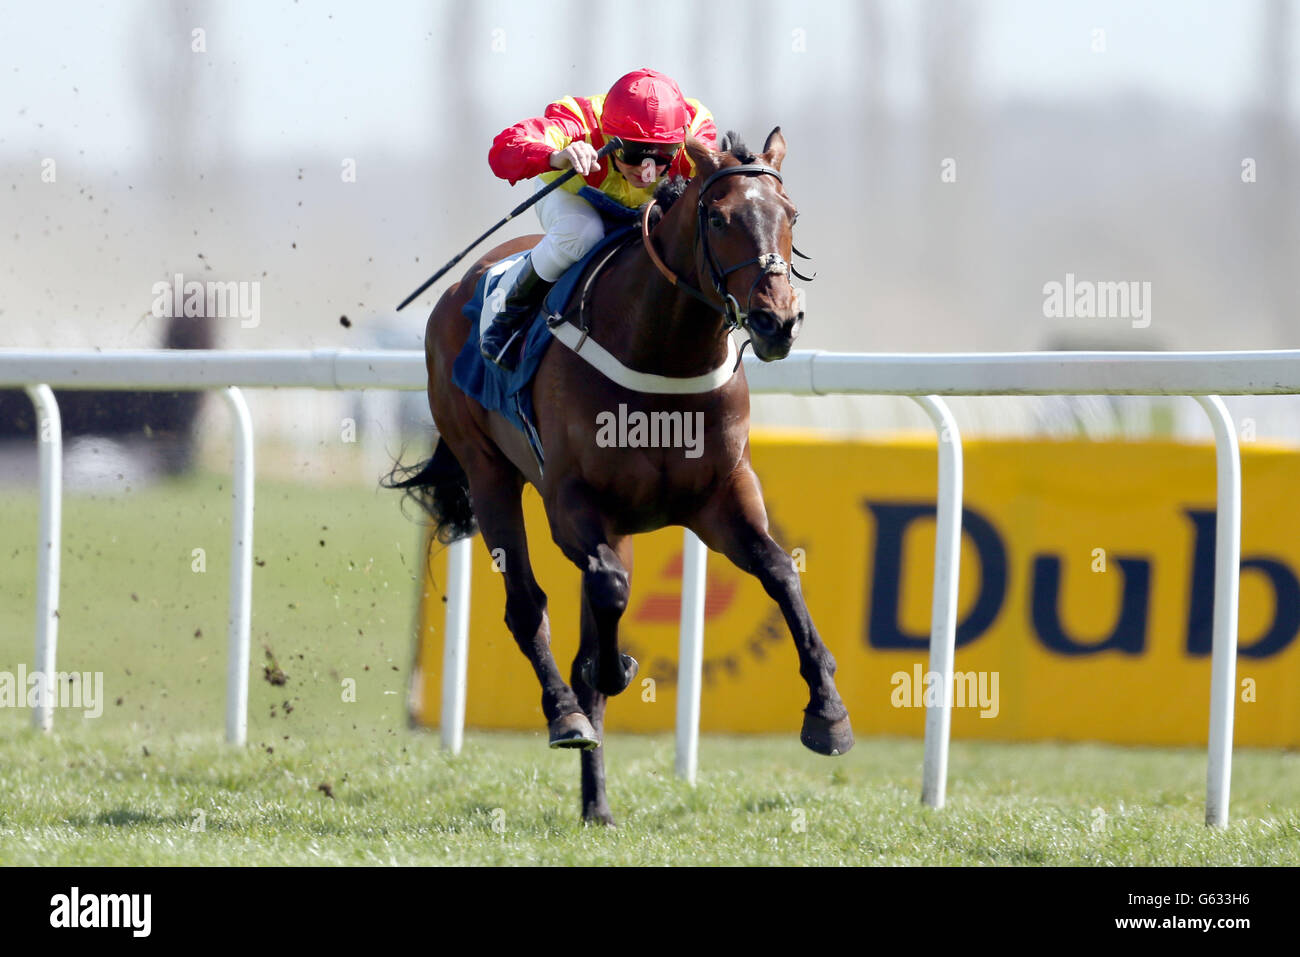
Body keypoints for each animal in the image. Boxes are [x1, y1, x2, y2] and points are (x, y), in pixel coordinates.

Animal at [390, 130, 847, 826]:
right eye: (720, 219)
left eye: (791, 214)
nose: (778, 322)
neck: (662, 351)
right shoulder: (573, 503)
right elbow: (605, 597)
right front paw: (610, 674)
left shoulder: (721, 497)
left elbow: (778, 570)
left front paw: (827, 713)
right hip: (488, 470)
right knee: (528, 607)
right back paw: (566, 716)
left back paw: (597, 805)